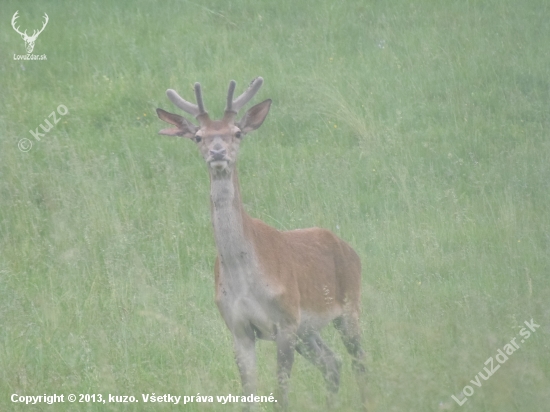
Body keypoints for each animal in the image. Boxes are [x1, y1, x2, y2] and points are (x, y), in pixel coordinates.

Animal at [157, 76, 368, 408]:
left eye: (237, 132)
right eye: (198, 137)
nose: (218, 152)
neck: (245, 277)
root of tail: (349, 249)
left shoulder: (285, 319)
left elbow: (280, 394)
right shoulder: (239, 327)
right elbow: (249, 396)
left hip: (348, 305)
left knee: (360, 361)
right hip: (307, 329)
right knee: (333, 362)